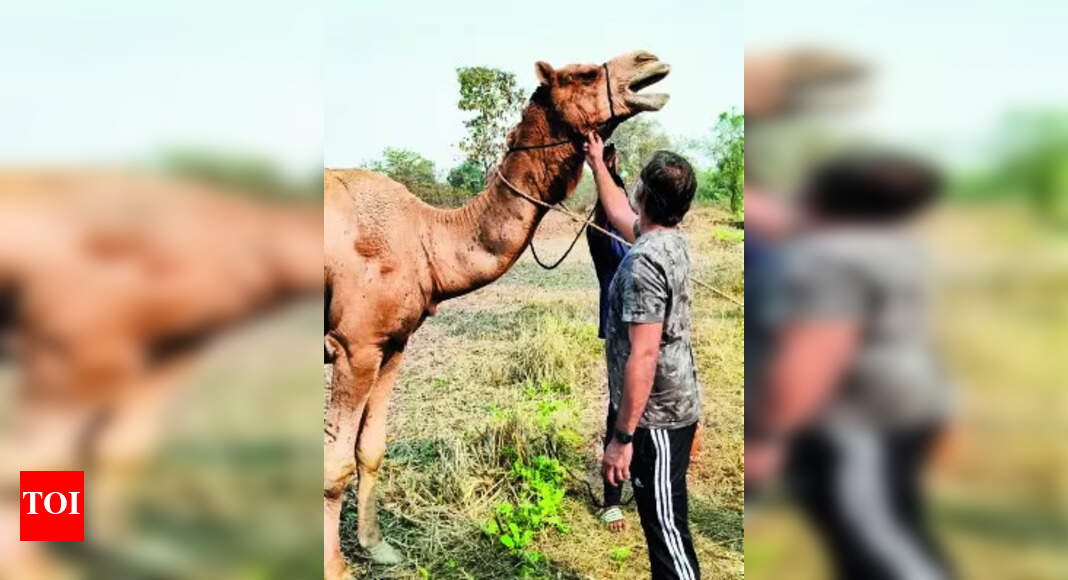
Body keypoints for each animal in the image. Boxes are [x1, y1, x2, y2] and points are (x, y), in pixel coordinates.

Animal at [324, 50, 671, 576]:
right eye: (584, 73)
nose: (649, 60)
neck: (425, 237)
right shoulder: (354, 345)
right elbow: (335, 463)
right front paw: (335, 566)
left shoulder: (392, 343)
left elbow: (370, 448)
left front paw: (377, 546)